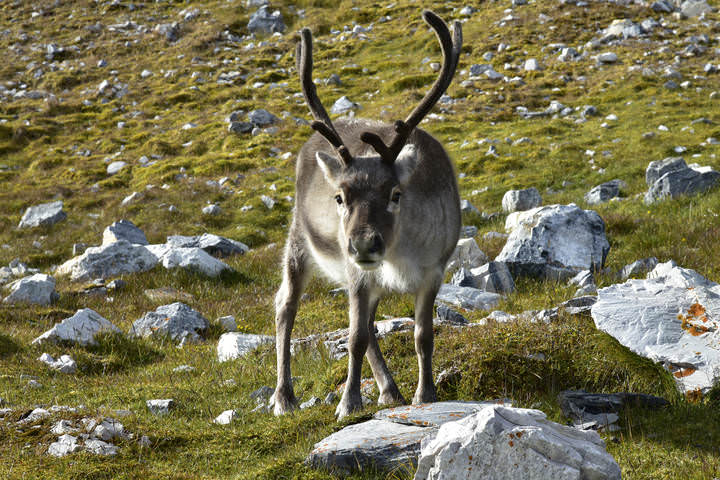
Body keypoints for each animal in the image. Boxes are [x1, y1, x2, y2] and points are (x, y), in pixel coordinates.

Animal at [273, 10, 463, 420]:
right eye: (339, 197)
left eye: (395, 194)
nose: (362, 244)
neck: (400, 255)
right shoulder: (357, 273)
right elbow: (355, 337)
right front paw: (348, 403)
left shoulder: (434, 271)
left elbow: (423, 336)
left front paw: (426, 394)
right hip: (300, 243)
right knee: (286, 305)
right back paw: (284, 397)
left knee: (371, 325)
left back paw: (389, 390)